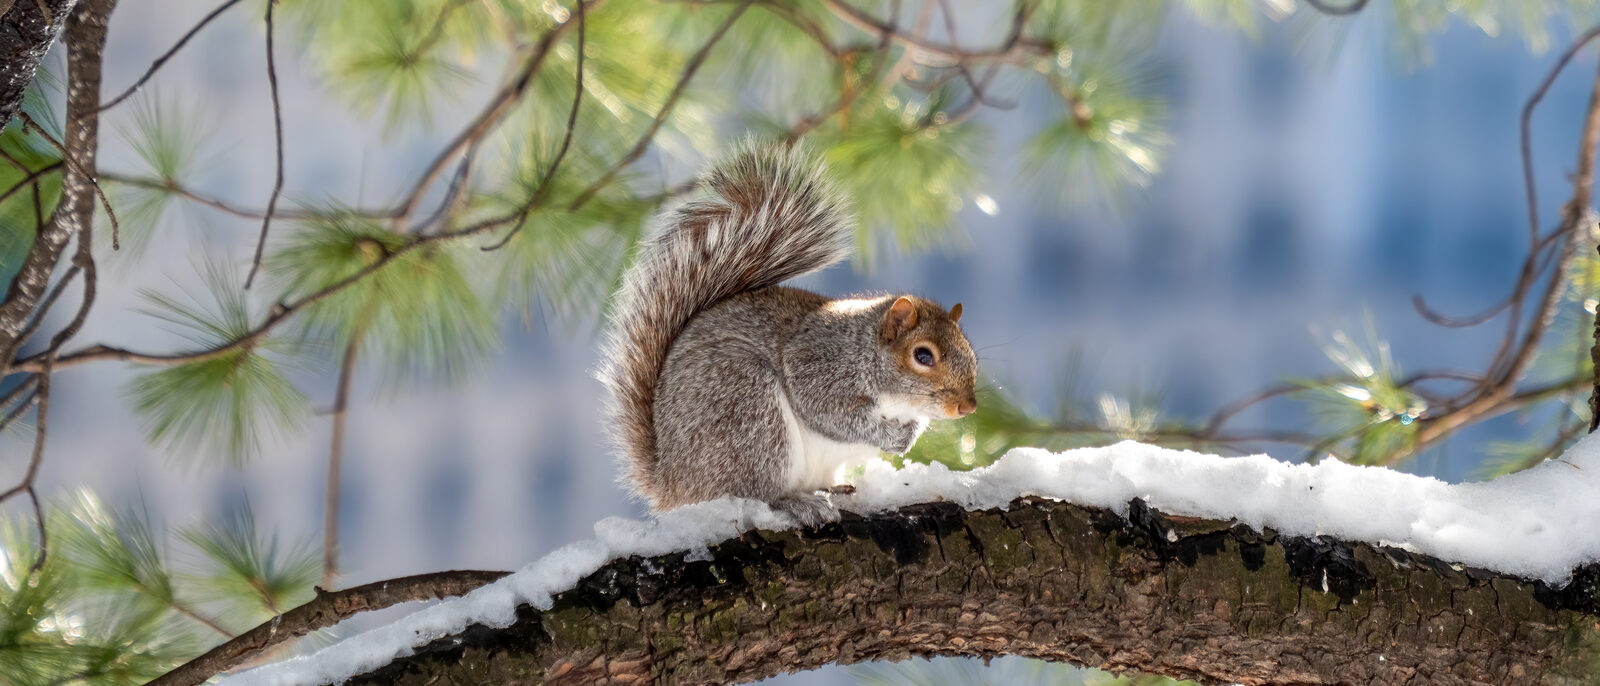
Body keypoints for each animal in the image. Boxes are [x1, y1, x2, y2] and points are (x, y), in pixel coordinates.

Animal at [597, 143, 978, 526]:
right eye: (922, 355)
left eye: (971, 353)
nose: (968, 407)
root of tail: (671, 482)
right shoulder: (817, 364)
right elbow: (828, 412)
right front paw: (890, 435)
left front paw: (909, 435)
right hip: (747, 409)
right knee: (757, 492)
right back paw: (798, 502)